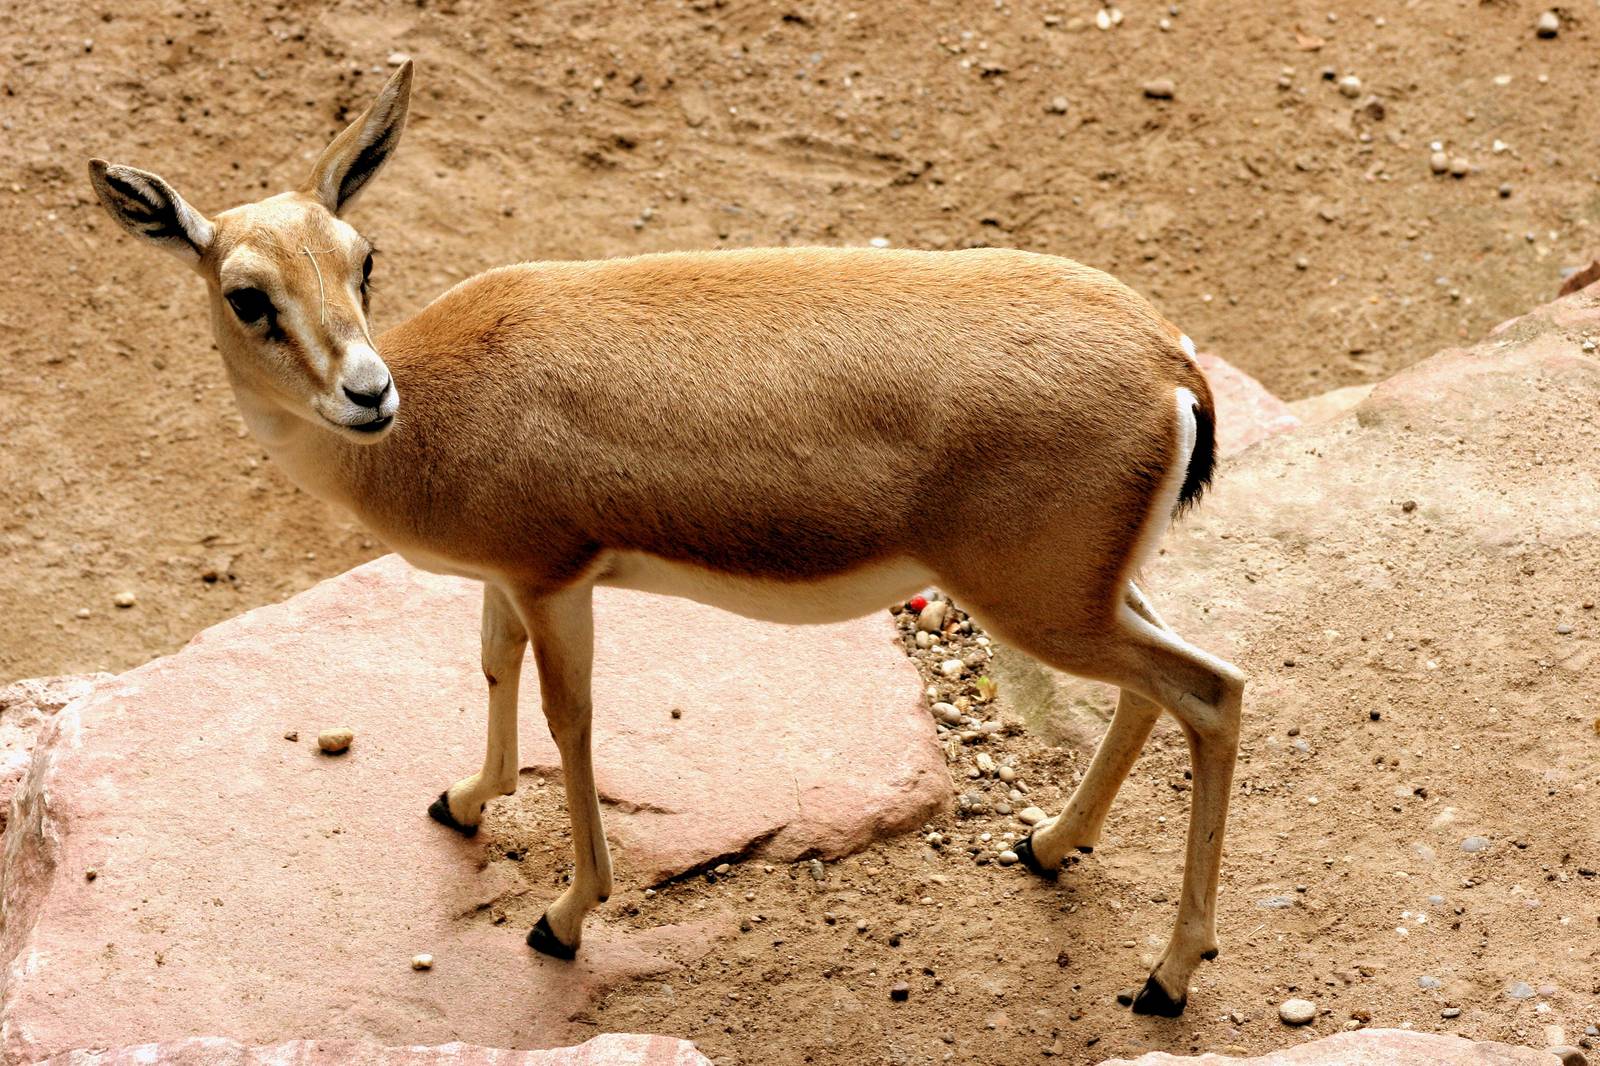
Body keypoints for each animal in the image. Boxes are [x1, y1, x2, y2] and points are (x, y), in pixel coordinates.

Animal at [87, 61, 1245, 1016]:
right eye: (247, 295)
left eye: (362, 260)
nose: (367, 393)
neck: (435, 416)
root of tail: (1167, 360)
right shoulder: (508, 580)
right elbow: (492, 666)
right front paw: (462, 801)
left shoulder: (555, 579)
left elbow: (572, 721)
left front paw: (561, 919)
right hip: (1089, 590)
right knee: (1165, 683)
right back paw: (1048, 844)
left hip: (1040, 603)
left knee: (1213, 689)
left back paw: (1165, 978)